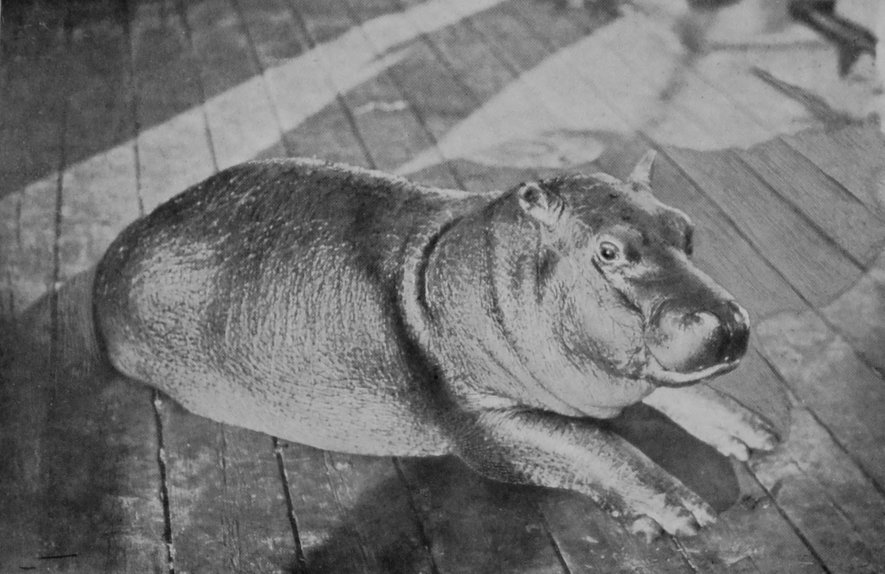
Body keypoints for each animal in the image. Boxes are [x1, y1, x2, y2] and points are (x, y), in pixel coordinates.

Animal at [92, 151, 777, 537]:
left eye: (686, 228)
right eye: (608, 251)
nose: (730, 322)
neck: (485, 273)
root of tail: (118, 246)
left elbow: (675, 395)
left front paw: (758, 433)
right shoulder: (482, 423)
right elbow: (591, 445)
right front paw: (684, 512)